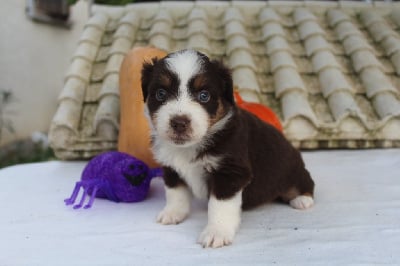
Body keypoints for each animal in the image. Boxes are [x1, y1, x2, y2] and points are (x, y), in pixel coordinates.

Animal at [141, 48, 316, 248]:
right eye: (161, 93)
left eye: (204, 96)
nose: (179, 123)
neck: (189, 147)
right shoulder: (171, 168)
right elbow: (175, 192)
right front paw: (172, 213)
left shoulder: (230, 172)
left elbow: (219, 206)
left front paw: (216, 232)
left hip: (292, 170)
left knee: (307, 183)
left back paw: (302, 199)